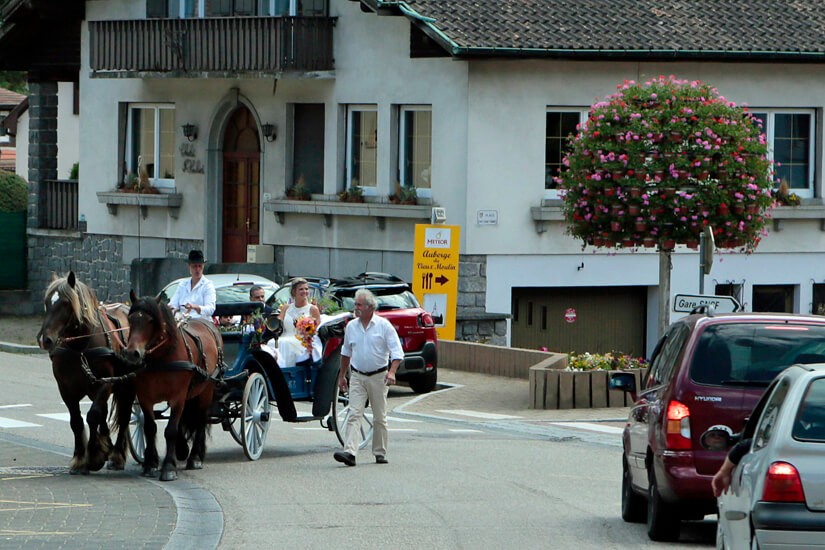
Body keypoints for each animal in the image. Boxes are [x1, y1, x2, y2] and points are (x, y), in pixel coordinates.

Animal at [36, 274, 134, 476]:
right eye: (47, 302)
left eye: (66, 303)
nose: (45, 339)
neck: (79, 348)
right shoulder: (66, 389)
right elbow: (76, 421)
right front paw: (81, 458)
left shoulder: (105, 383)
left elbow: (92, 416)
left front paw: (93, 457)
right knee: (105, 413)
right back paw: (106, 444)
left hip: (126, 386)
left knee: (124, 416)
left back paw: (116, 455)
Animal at [120, 294, 224, 484]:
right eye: (130, 319)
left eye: (151, 321)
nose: (132, 353)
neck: (161, 358)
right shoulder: (145, 397)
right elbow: (150, 428)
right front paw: (150, 464)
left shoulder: (178, 397)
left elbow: (171, 430)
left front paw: (168, 467)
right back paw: (182, 450)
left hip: (206, 391)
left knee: (200, 420)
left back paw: (195, 458)